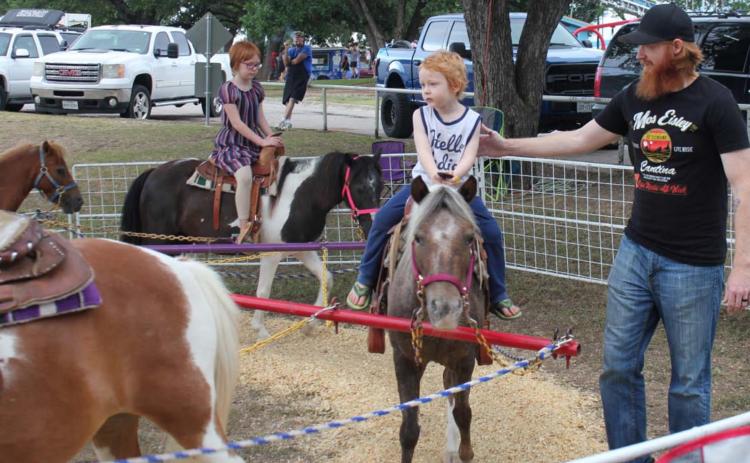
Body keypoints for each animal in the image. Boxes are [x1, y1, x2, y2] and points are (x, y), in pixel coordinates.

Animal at [121, 151, 383, 338]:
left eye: (380, 187)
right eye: (359, 187)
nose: (373, 224)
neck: (302, 193)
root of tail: (153, 172)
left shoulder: (301, 248)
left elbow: (326, 277)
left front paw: (310, 324)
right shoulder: (272, 253)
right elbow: (263, 292)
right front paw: (260, 330)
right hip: (158, 240)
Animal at [387, 176, 486, 463]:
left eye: (469, 238)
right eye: (418, 238)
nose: (445, 308)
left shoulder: (464, 360)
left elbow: (463, 414)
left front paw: (465, 452)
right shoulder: (405, 360)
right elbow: (409, 429)